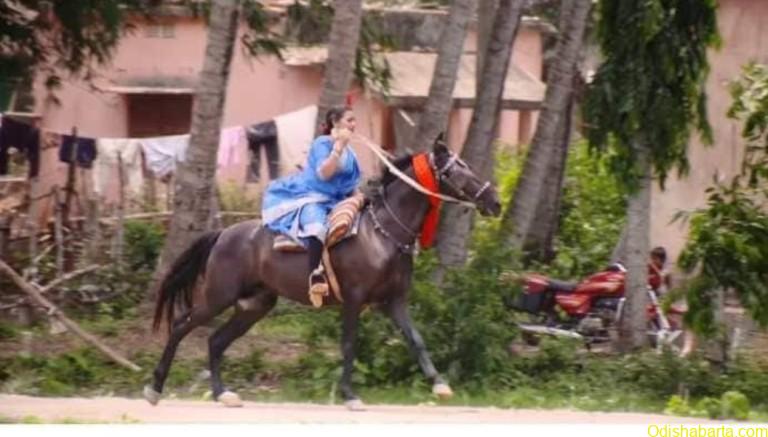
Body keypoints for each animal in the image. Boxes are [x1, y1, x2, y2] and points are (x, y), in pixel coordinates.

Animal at [144, 139, 504, 408]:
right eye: (457, 168)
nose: (495, 201)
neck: (383, 233)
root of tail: (223, 234)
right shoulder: (354, 299)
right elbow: (349, 344)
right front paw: (349, 394)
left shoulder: (394, 301)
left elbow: (416, 340)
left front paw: (440, 384)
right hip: (219, 297)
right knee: (181, 325)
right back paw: (155, 387)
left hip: (254, 305)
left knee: (216, 341)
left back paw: (222, 393)